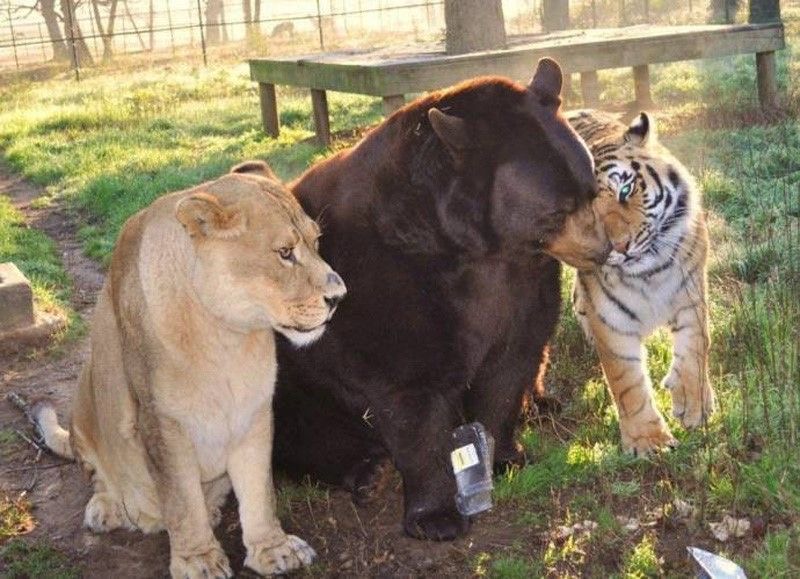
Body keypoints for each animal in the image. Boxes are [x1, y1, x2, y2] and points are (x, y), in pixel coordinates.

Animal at [564, 107, 716, 454]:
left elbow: (695, 347)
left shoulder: (691, 293)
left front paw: (694, 405)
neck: (650, 273)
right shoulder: (611, 322)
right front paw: (649, 441)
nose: (620, 247)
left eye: (625, 190)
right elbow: (627, 382)